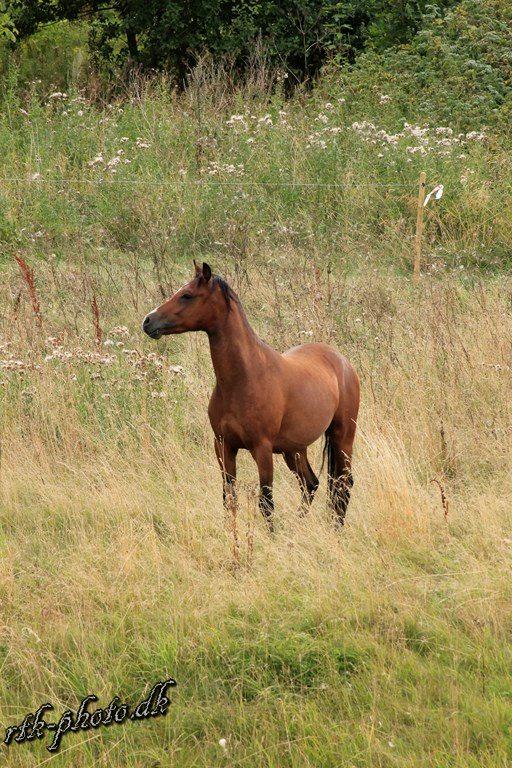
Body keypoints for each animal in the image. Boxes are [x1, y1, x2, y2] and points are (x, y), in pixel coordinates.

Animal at [143, 261, 360, 531]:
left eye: (187, 295)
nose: (148, 321)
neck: (244, 378)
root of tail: (342, 362)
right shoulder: (223, 446)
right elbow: (229, 498)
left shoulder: (262, 449)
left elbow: (266, 503)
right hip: (295, 449)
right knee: (311, 483)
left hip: (343, 438)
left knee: (344, 483)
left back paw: (335, 529)